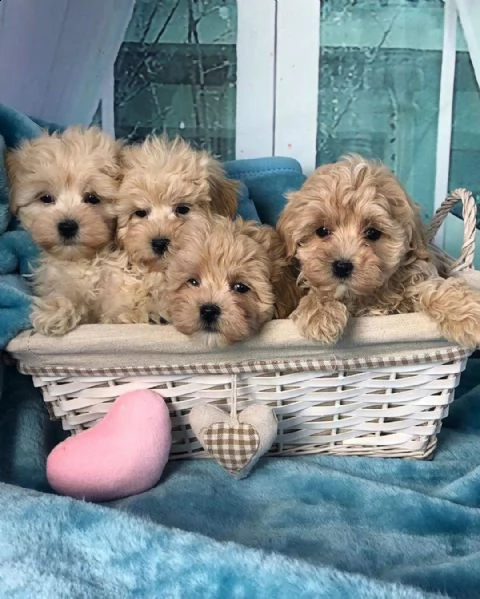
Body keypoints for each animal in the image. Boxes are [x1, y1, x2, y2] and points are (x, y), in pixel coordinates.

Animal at [6, 126, 122, 336]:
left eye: (92, 198)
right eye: (46, 198)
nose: (67, 226)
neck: (83, 261)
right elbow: (64, 289)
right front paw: (55, 311)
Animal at [276, 155, 480, 350]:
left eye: (373, 233)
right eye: (322, 231)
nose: (342, 266)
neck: (370, 293)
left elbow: (436, 289)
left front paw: (470, 315)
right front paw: (320, 314)